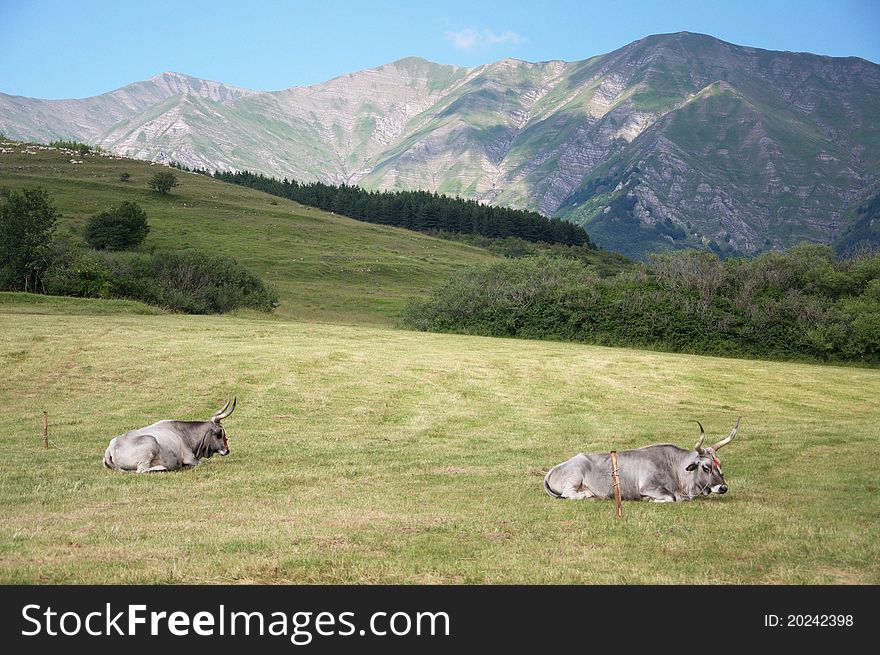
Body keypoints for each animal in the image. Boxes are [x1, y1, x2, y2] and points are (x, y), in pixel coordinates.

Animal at [103, 398, 237, 474]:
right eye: (219, 433)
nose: (227, 450)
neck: (184, 433)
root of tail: (111, 448)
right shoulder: (190, 458)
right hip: (150, 442)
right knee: (141, 471)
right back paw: (161, 468)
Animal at [548, 420, 740, 502]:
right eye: (706, 467)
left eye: (719, 465)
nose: (723, 487)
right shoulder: (649, 487)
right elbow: (671, 497)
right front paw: (650, 500)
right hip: (575, 478)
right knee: (569, 493)